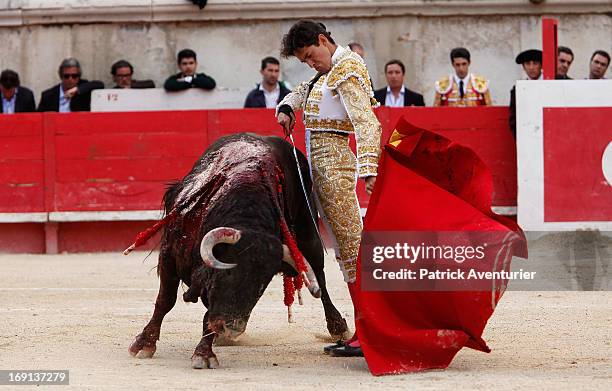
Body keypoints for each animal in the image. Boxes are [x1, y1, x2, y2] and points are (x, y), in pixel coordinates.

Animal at [128, 133, 350, 370]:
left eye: (261, 286)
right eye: (227, 272)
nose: (233, 328)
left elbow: (207, 315)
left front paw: (204, 353)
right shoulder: (169, 254)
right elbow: (165, 300)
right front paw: (144, 344)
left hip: (309, 235)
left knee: (320, 279)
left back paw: (338, 327)